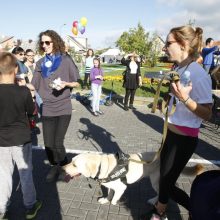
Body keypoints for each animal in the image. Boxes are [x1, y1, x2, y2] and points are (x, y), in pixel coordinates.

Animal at [62, 152, 203, 205]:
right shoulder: (111, 186)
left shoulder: (121, 187)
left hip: (155, 181)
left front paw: (113, 202)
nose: (62, 168)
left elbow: (114, 198)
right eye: (71, 161)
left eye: (75, 165)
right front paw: (105, 200)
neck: (103, 165)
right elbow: (109, 193)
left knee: (161, 193)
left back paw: (153, 201)